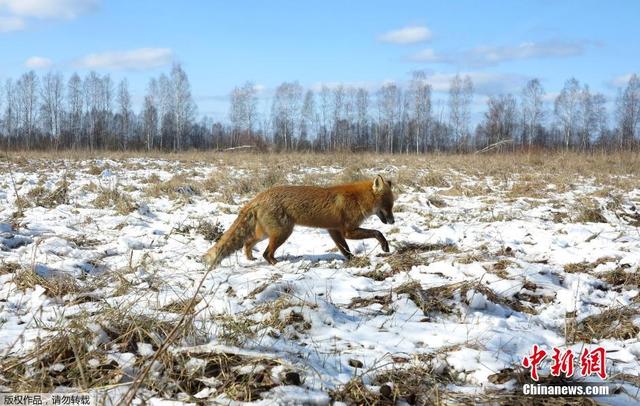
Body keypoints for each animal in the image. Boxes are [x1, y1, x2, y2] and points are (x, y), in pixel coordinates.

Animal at [205, 175, 396, 266]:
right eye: (388, 206)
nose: (393, 221)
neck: (357, 199)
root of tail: (259, 196)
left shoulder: (333, 230)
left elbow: (345, 249)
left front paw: (352, 260)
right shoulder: (348, 230)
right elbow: (377, 232)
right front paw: (384, 246)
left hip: (265, 233)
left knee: (248, 243)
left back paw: (251, 258)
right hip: (282, 233)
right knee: (267, 253)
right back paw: (278, 264)